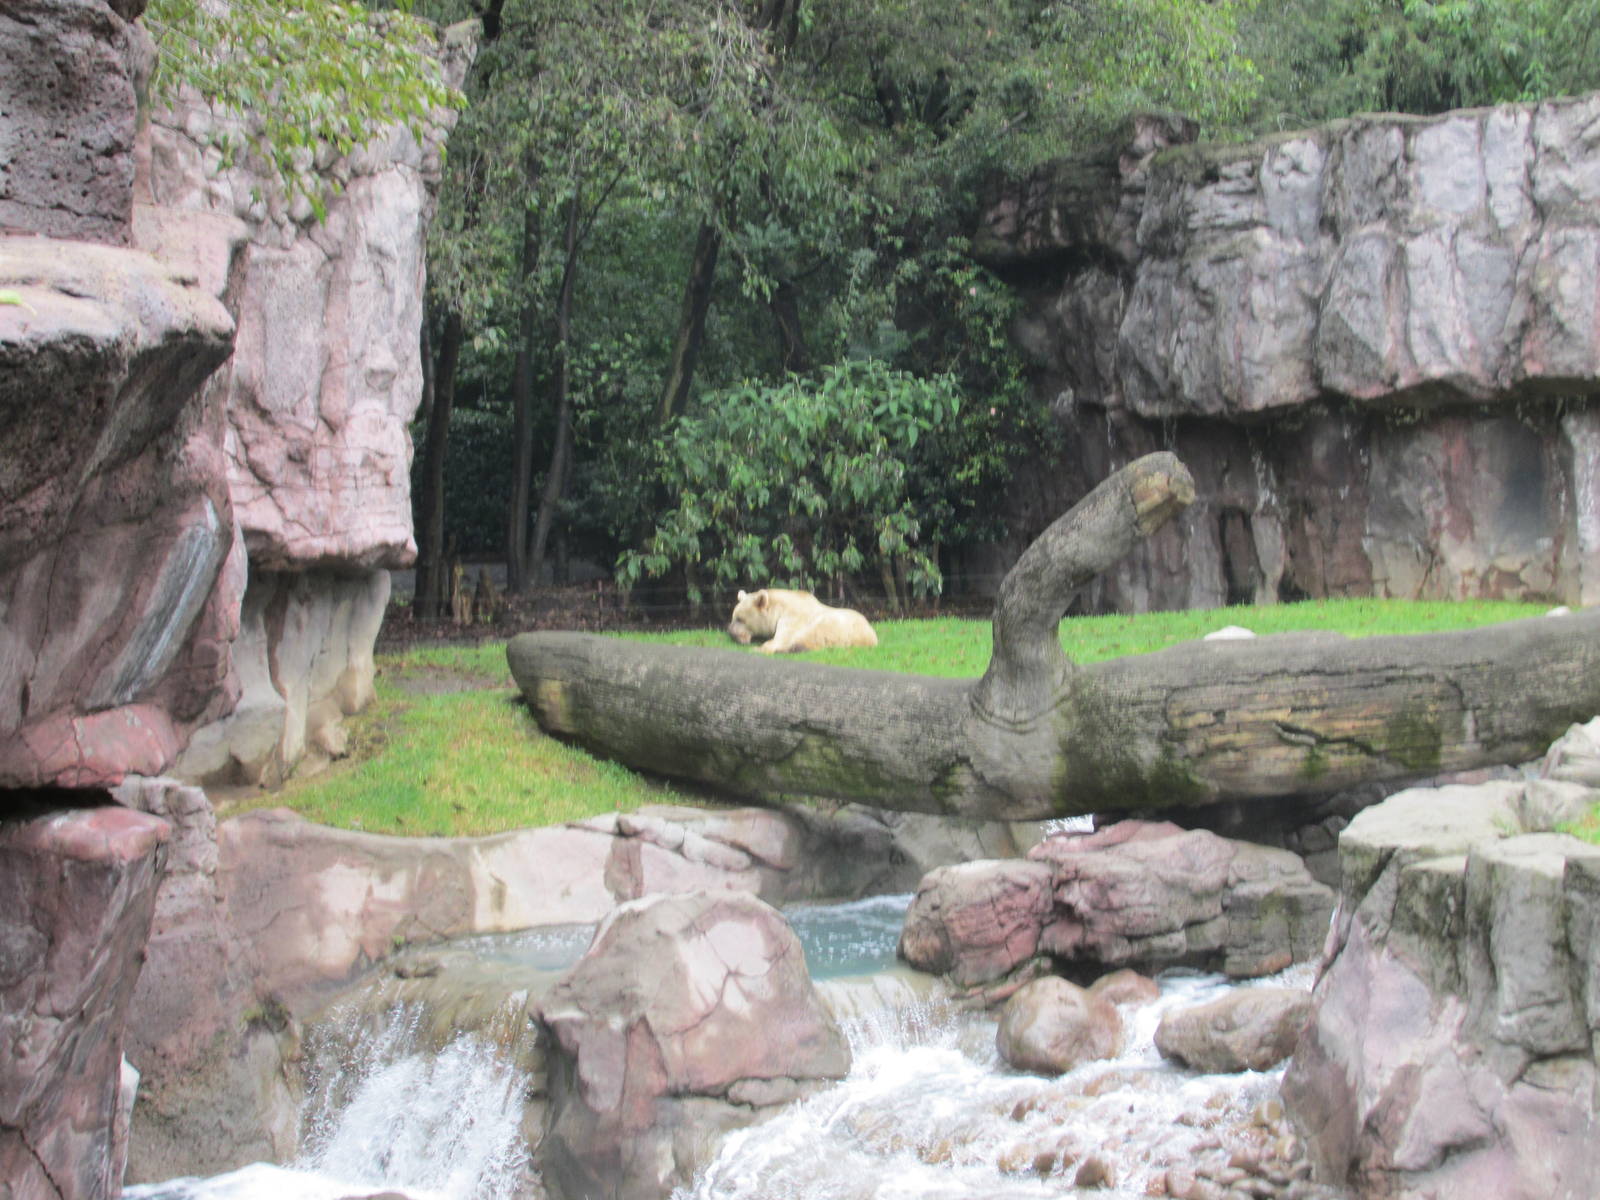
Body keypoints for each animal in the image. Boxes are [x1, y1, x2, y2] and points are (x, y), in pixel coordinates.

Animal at [726, 588, 878, 654]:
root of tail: (873, 637)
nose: (731, 633)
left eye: (740, 619)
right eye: (733, 617)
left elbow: (781, 639)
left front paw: (758, 648)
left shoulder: (793, 618)